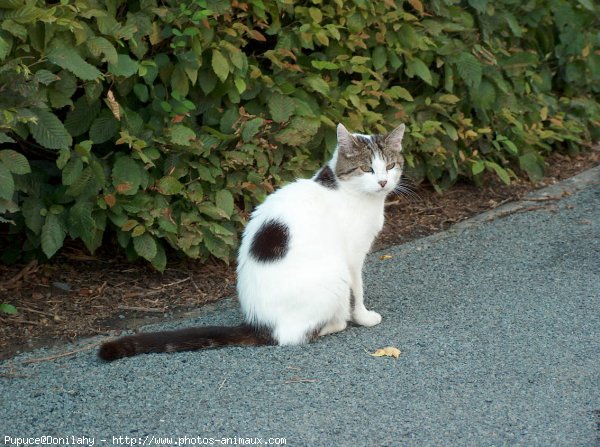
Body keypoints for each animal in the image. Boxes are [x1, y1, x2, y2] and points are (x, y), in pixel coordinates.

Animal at [98, 124, 406, 362]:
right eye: (366, 168)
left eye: (390, 166)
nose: (382, 182)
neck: (350, 192)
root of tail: (260, 324)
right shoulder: (353, 258)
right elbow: (359, 292)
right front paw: (364, 317)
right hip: (335, 275)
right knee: (296, 335)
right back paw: (334, 323)